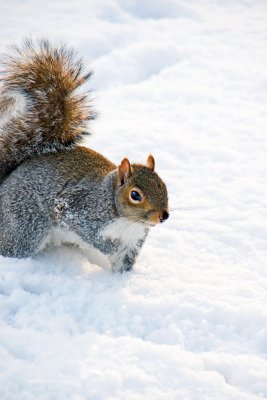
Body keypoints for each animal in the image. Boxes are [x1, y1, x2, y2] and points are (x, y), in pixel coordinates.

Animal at [0, 39, 170, 272]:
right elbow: (92, 236)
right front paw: (108, 247)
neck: (127, 222)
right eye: (135, 195)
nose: (163, 216)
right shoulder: (77, 210)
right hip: (26, 224)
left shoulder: (133, 241)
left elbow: (123, 264)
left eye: (163, 185)